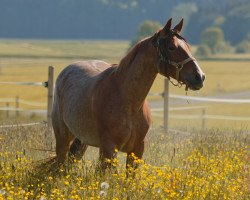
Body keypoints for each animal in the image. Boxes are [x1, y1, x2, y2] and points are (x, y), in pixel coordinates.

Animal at [51, 18, 205, 170]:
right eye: (171, 47)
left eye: (187, 46)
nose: (199, 77)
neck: (128, 102)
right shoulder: (108, 149)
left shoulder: (136, 150)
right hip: (63, 139)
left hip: (82, 141)